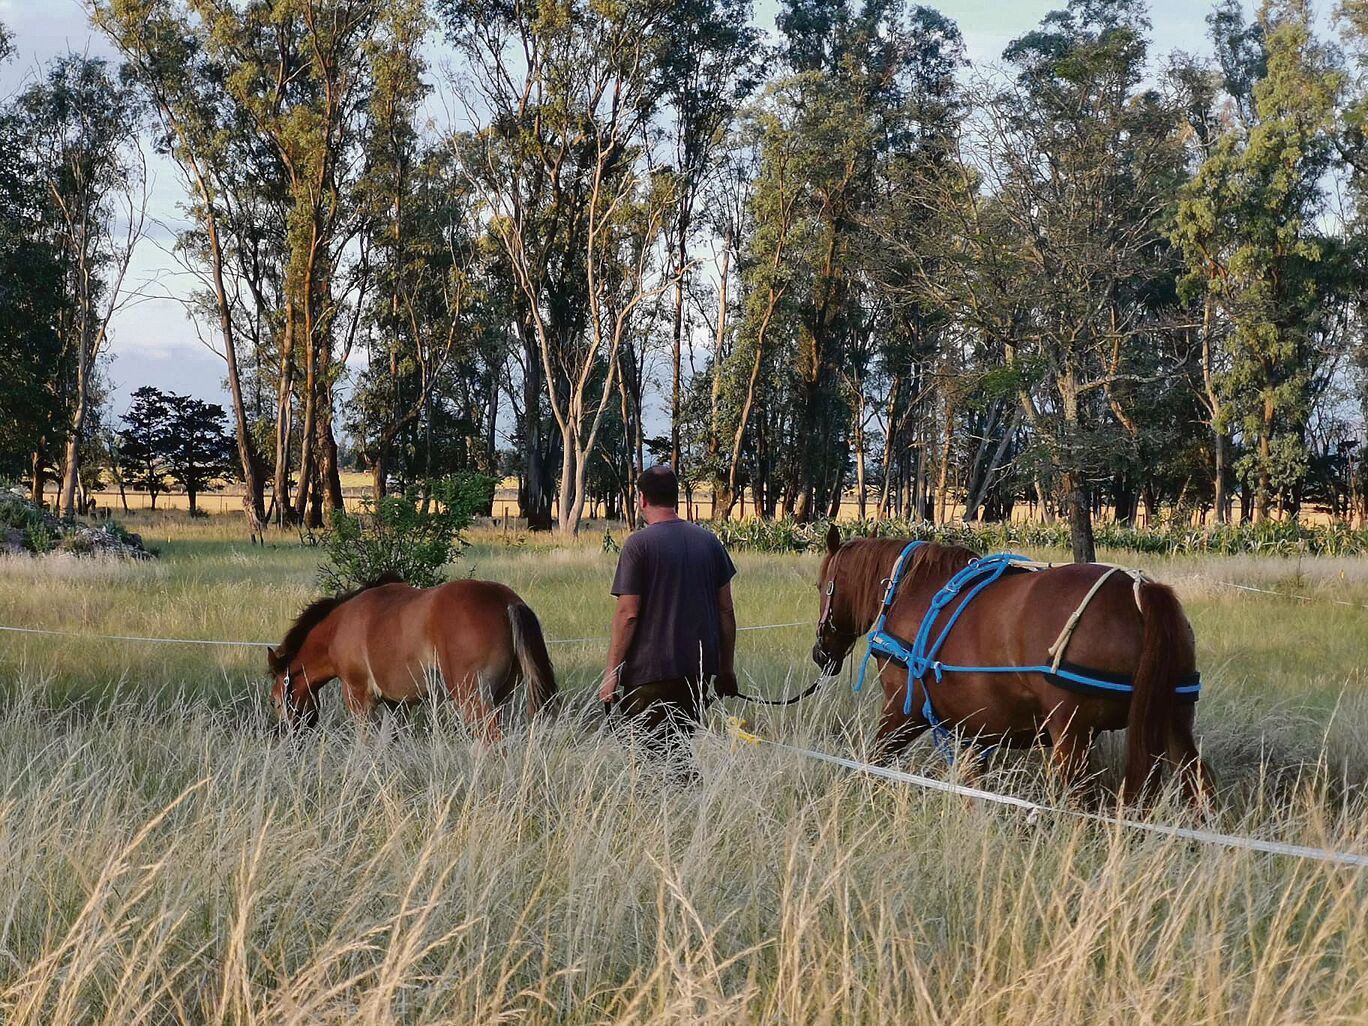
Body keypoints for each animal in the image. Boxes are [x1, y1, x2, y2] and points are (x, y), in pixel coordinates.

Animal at [267, 573, 557, 739]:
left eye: (274, 701)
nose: (288, 735)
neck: (340, 626)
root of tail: (506, 601)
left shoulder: (359, 699)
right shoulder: (398, 706)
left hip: (472, 699)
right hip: (498, 698)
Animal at [812, 527, 1209, 801]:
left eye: (821, 585)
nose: (820, 653)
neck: (908, 592)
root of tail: (1139, 592)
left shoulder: (901, 713)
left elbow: (874, 759)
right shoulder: (975, 730)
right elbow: (973, 786)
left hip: (1072, 737)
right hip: (1173, 721)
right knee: (1199, 790)